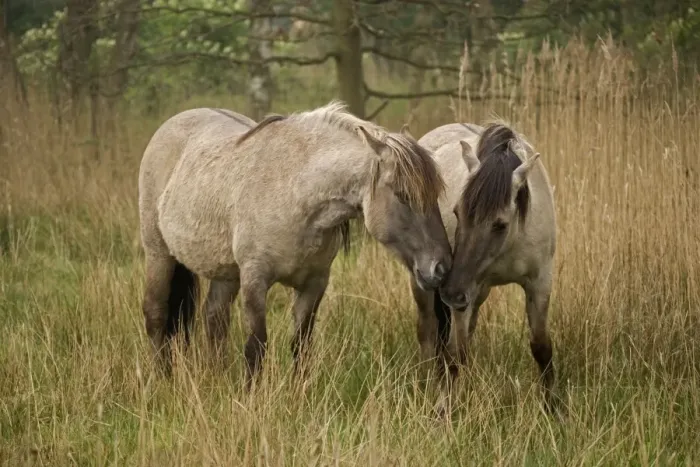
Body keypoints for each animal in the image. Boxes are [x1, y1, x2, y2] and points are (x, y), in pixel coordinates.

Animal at [138, 101, 453, 387]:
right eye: (403, 195)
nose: (441, 268)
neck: (297, 193)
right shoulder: (255, 279)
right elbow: (256, 346)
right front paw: (251, 397)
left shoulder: (314, 284)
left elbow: (301, 345)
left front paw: (299, 393)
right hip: (159, 254)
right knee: (156, 314)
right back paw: (161, 380)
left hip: (225, 272)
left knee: (215, 320)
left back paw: (216, 378)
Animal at [404, 121, 558, 413]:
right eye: (457, 213)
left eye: (499, 224)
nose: (451, 293)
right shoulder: (465, 290)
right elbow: (454, 353)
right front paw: (444, 409)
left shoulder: (540, 282)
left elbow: (541, 347)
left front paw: (552, 408)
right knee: (428, 333)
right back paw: (426, 384)